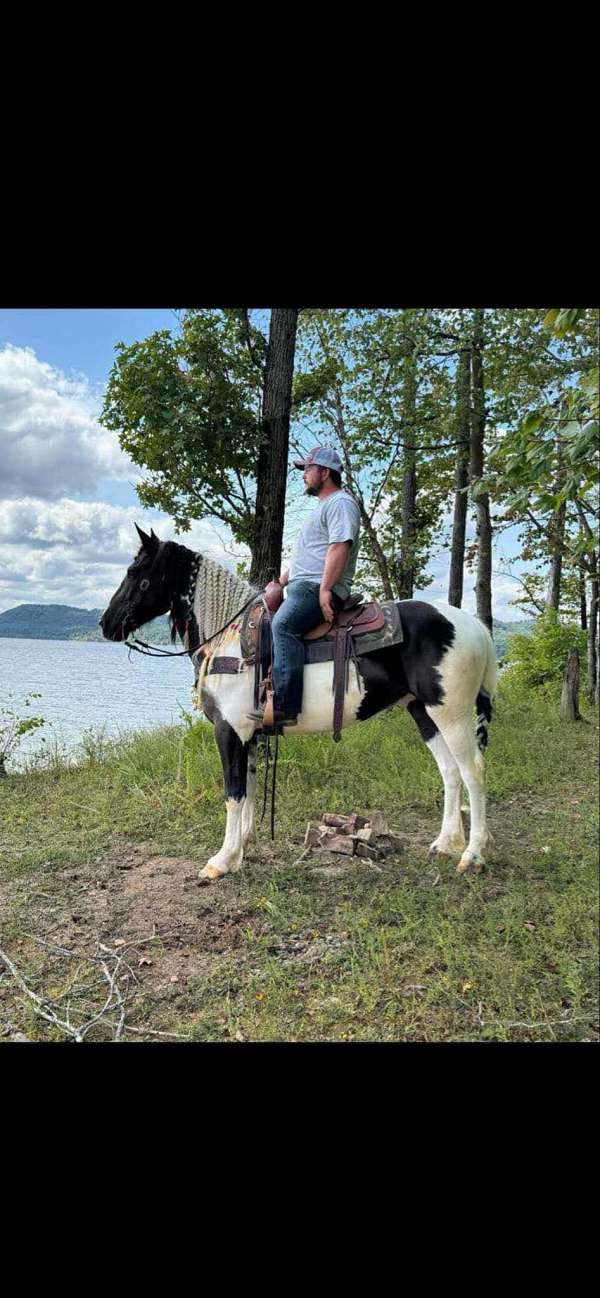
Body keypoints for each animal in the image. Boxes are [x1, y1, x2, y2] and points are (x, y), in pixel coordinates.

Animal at [99, 526, 496, 882]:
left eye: (136, 573)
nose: (105, 624)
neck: (230, 640)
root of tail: (474, 625)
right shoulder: (250, 733)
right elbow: (249, 789)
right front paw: (243, 845)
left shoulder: (229, 731)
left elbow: (233, 793)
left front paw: (221, 861)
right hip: (423, 712)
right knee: (450, 771)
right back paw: (445, 844)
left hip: (452, 713)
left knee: (473, 771)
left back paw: (472, 855)